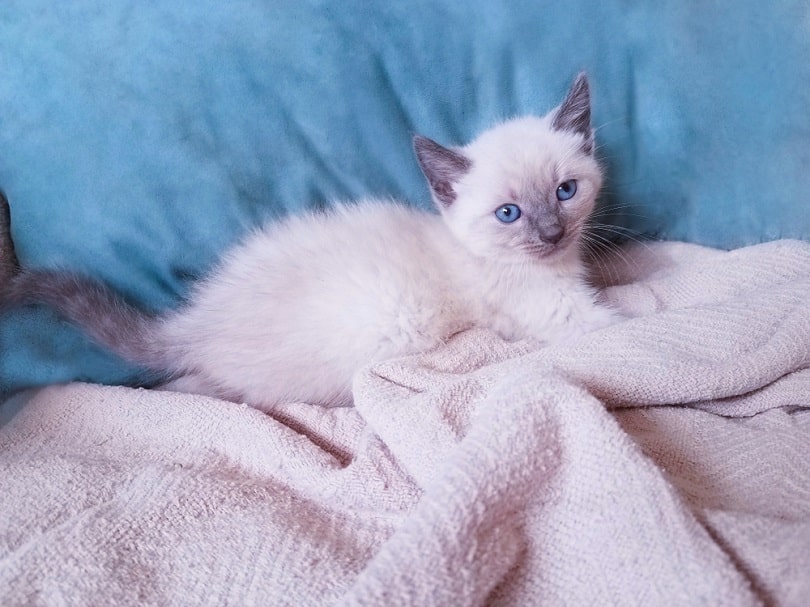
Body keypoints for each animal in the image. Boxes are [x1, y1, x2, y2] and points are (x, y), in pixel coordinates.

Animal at [1, 72, 612, 414]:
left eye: (565, 191)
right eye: (508, 214)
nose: (552, 234)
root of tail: (195, 319)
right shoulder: (555, 316)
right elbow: (619, 322)